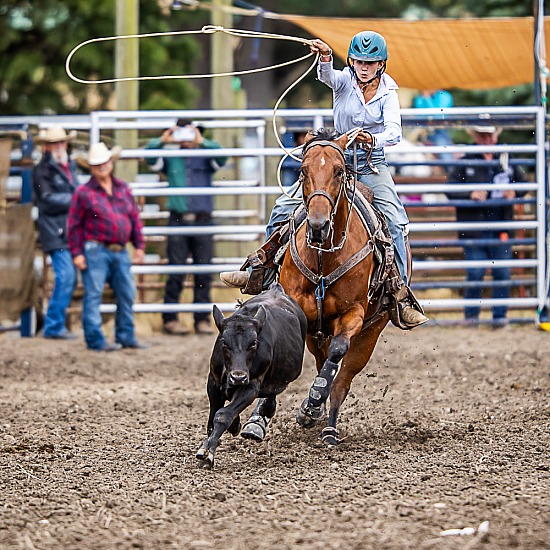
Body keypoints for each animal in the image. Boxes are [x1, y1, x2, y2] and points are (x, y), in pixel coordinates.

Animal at [280, 129, 392, 448]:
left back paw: (327, 425)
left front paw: (312, 403)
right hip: (316, 334)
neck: (324, 257)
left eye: (339, 171)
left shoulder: (353, 314)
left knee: (341, 379)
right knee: (321, 362)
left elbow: (337, 354)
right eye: (303, 171)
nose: (318, 226)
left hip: (370, 333)